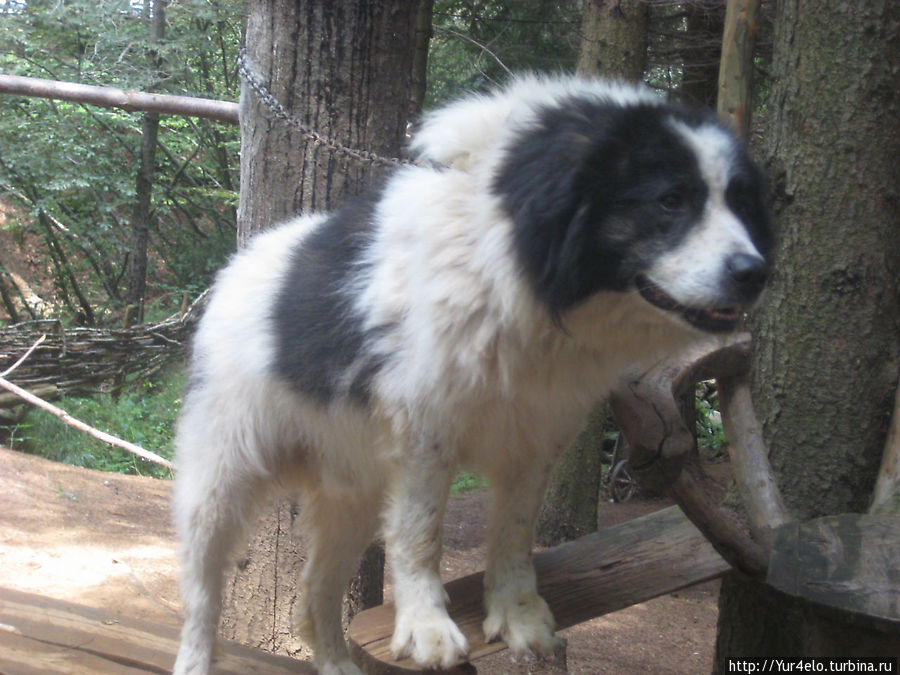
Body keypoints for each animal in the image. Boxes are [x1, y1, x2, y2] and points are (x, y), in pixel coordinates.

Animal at [174, 75, 772, 675]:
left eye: (741, 203)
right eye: (670, 200)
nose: (756, 273)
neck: (509, 267)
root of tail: (233, 270)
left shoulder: (536, 439)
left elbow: (514, 534)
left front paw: (518, 618)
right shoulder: (424, 432)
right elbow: (420, 532)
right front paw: (427, 629)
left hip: (352, 497)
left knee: (315, 590)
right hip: (220, 483)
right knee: (203, 594)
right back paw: (195, 658)